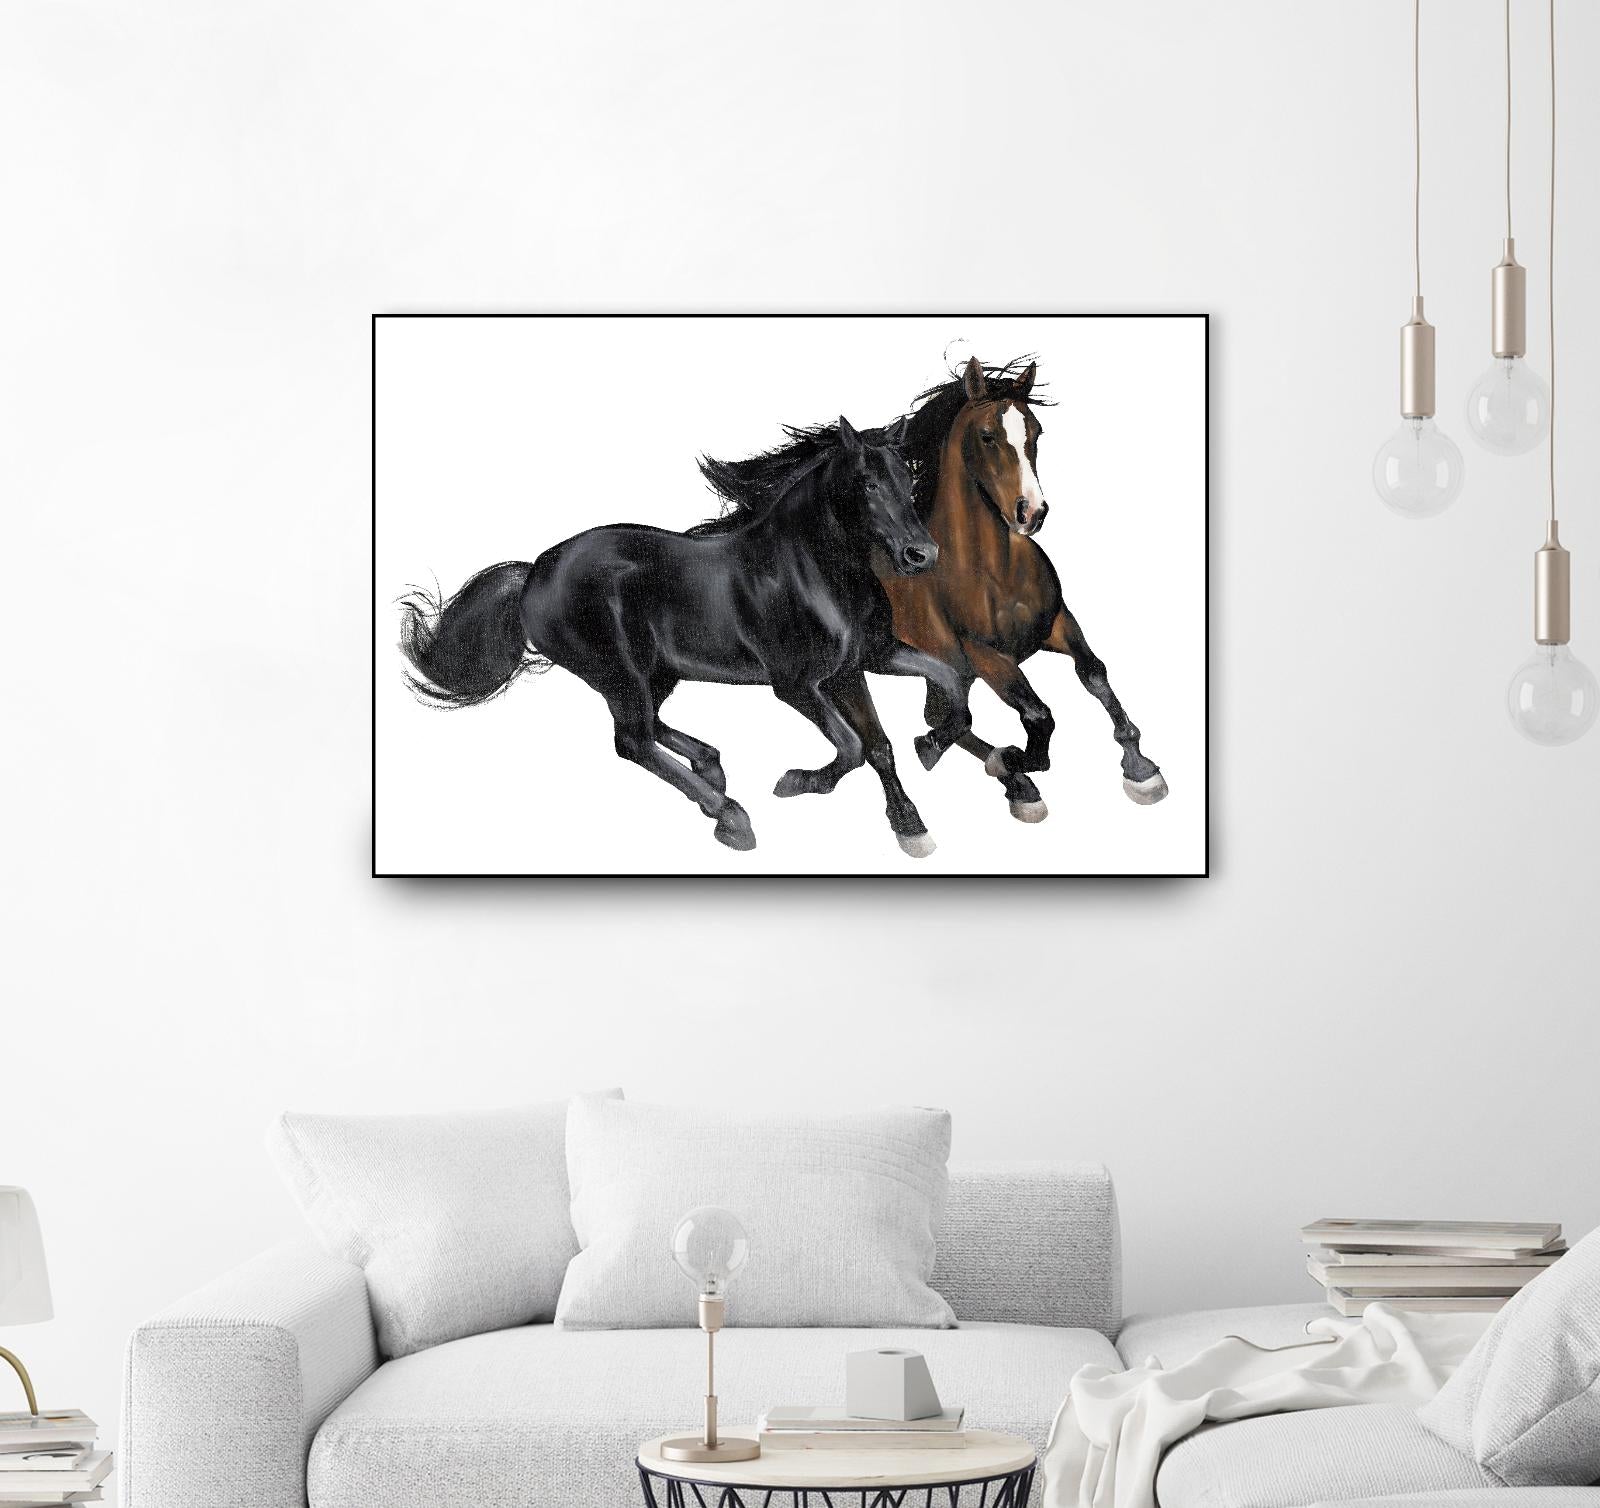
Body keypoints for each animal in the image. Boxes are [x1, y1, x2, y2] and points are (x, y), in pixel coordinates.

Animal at [398, 417, 974, 857]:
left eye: (908, 479)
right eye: (868, 484)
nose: (922, 555)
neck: (810, 570)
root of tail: (535, 570)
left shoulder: (862, 662)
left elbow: (925, 703)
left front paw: (919, 797)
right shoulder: (796, 684)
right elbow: (853, 746)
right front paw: (797, 782)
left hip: (656, 673)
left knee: (647, 728)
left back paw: (712, 768)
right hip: (619, 673)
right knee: (632, 740)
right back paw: (731, 816)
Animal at [699, 356, 1167, 822]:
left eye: (1035, 432)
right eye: (988, 436)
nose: (1031, 513)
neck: (993, 571)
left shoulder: (1058, 624)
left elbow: (1094, 673)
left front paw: (1141, 769)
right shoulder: (985, 655)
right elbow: (1038, 716)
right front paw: (1014, 761)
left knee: (939, 717)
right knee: (919, 727)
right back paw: (995, 779)